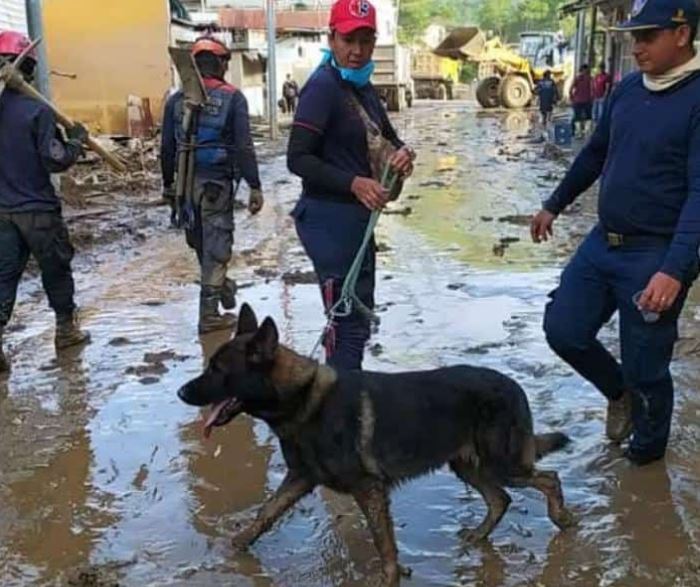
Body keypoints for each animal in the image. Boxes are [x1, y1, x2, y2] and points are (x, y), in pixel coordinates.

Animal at [179, 306, 576, 584]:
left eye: (217, 370)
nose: (181, 392)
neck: (303, 400)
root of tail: (512, 385)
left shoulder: (368, 489)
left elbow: (383, 542)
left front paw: (389, 578)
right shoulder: (300, 479)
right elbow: (266, 513)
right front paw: (237, 546)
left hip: (501, 464)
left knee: (548, 478)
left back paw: (562, 518)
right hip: (468, 465)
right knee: (500, 499)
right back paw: (480, 535)